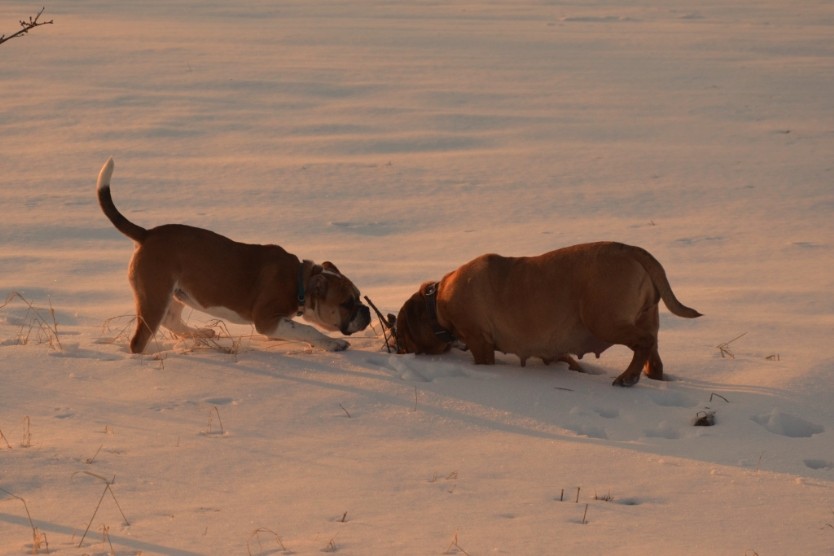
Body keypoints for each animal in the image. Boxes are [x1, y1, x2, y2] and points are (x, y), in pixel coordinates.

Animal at [96, 159, 368, 354]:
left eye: (358, 297)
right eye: (346, 303)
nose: (366, 311)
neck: (299, 281)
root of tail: (147, 234)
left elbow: (302, 330)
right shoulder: (267, 319)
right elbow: (307, 329)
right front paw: (333, 344)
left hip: (176, 293)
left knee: (171, 320)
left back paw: (200, 334)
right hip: (155, 294)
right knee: (140, 340)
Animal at [394, 243, 700, 386]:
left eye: (402, 332)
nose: (397, 349)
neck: (437, 303)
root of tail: (631, 250)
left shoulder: (479, 340)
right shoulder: (550, 349)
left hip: (603, 320)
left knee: (643, 342)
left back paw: (628, 377)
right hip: (645, 316)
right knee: (653, 350)